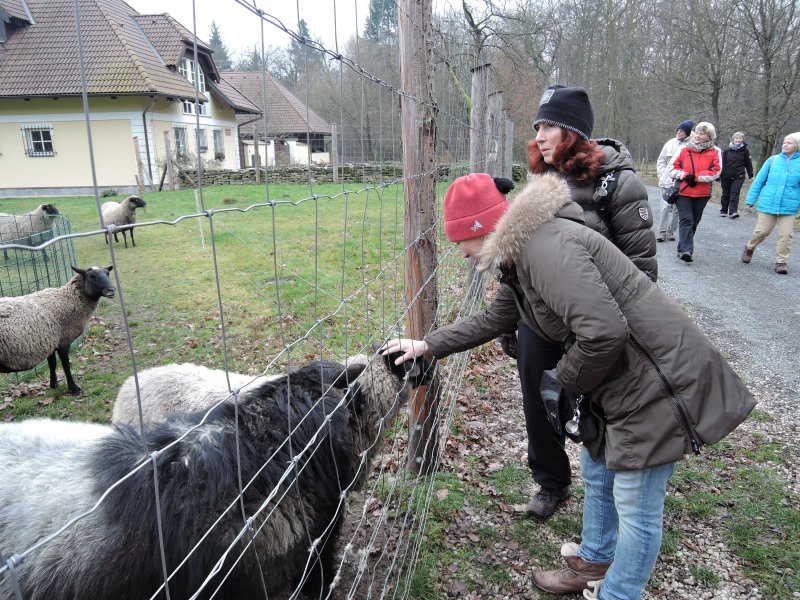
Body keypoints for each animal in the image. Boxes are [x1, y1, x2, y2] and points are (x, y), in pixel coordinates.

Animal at [0, 264, 116, 392]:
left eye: (107, 273)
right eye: (91, 276)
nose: (111, 290)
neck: (69, 299)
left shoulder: (49, 341)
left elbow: (52, 363)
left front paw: (54, 384)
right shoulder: (64, 341)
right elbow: (66, 364)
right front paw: (74, 388)